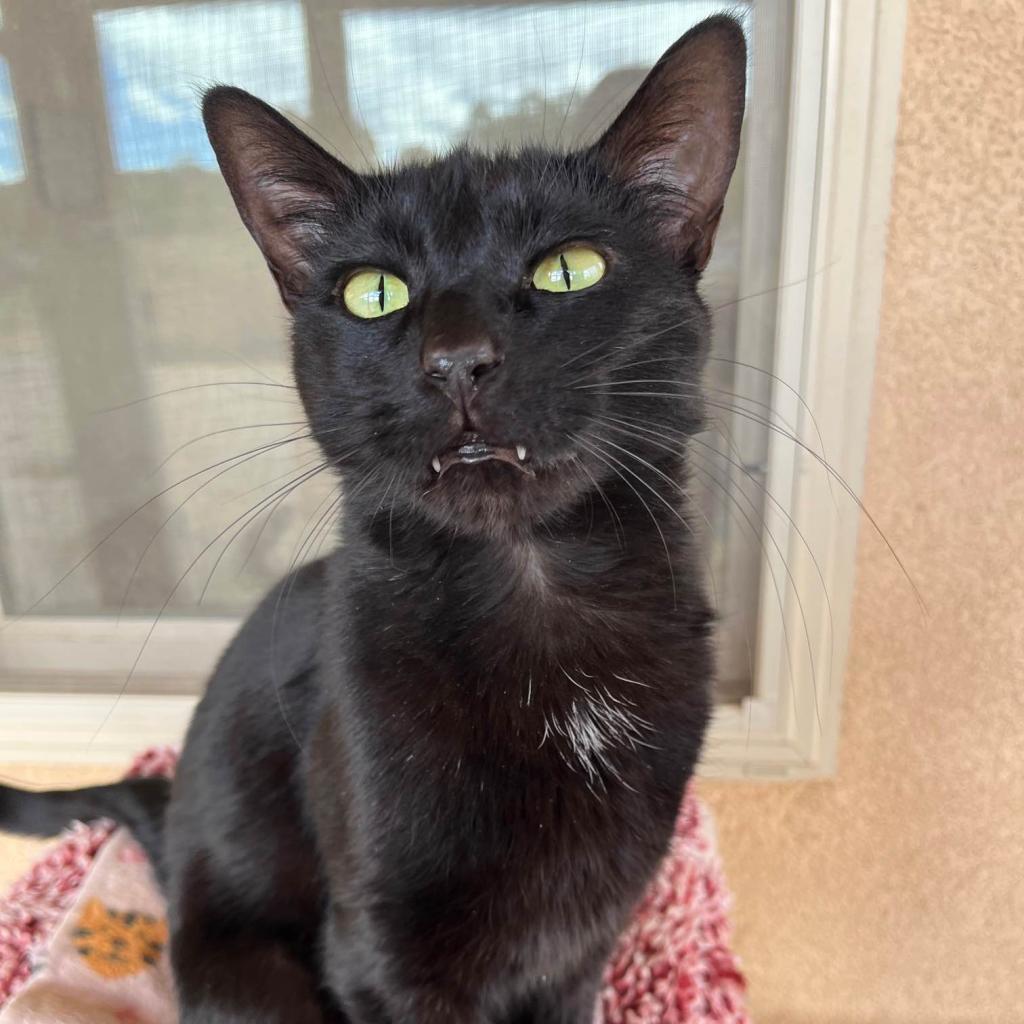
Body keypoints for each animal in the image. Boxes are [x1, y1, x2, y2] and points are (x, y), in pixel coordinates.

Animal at [0, 16, 745, 1024]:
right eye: (374, 292)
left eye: (570, 270)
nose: (458, 358)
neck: (536, 607)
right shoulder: (377, 949)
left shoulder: (586, 938)